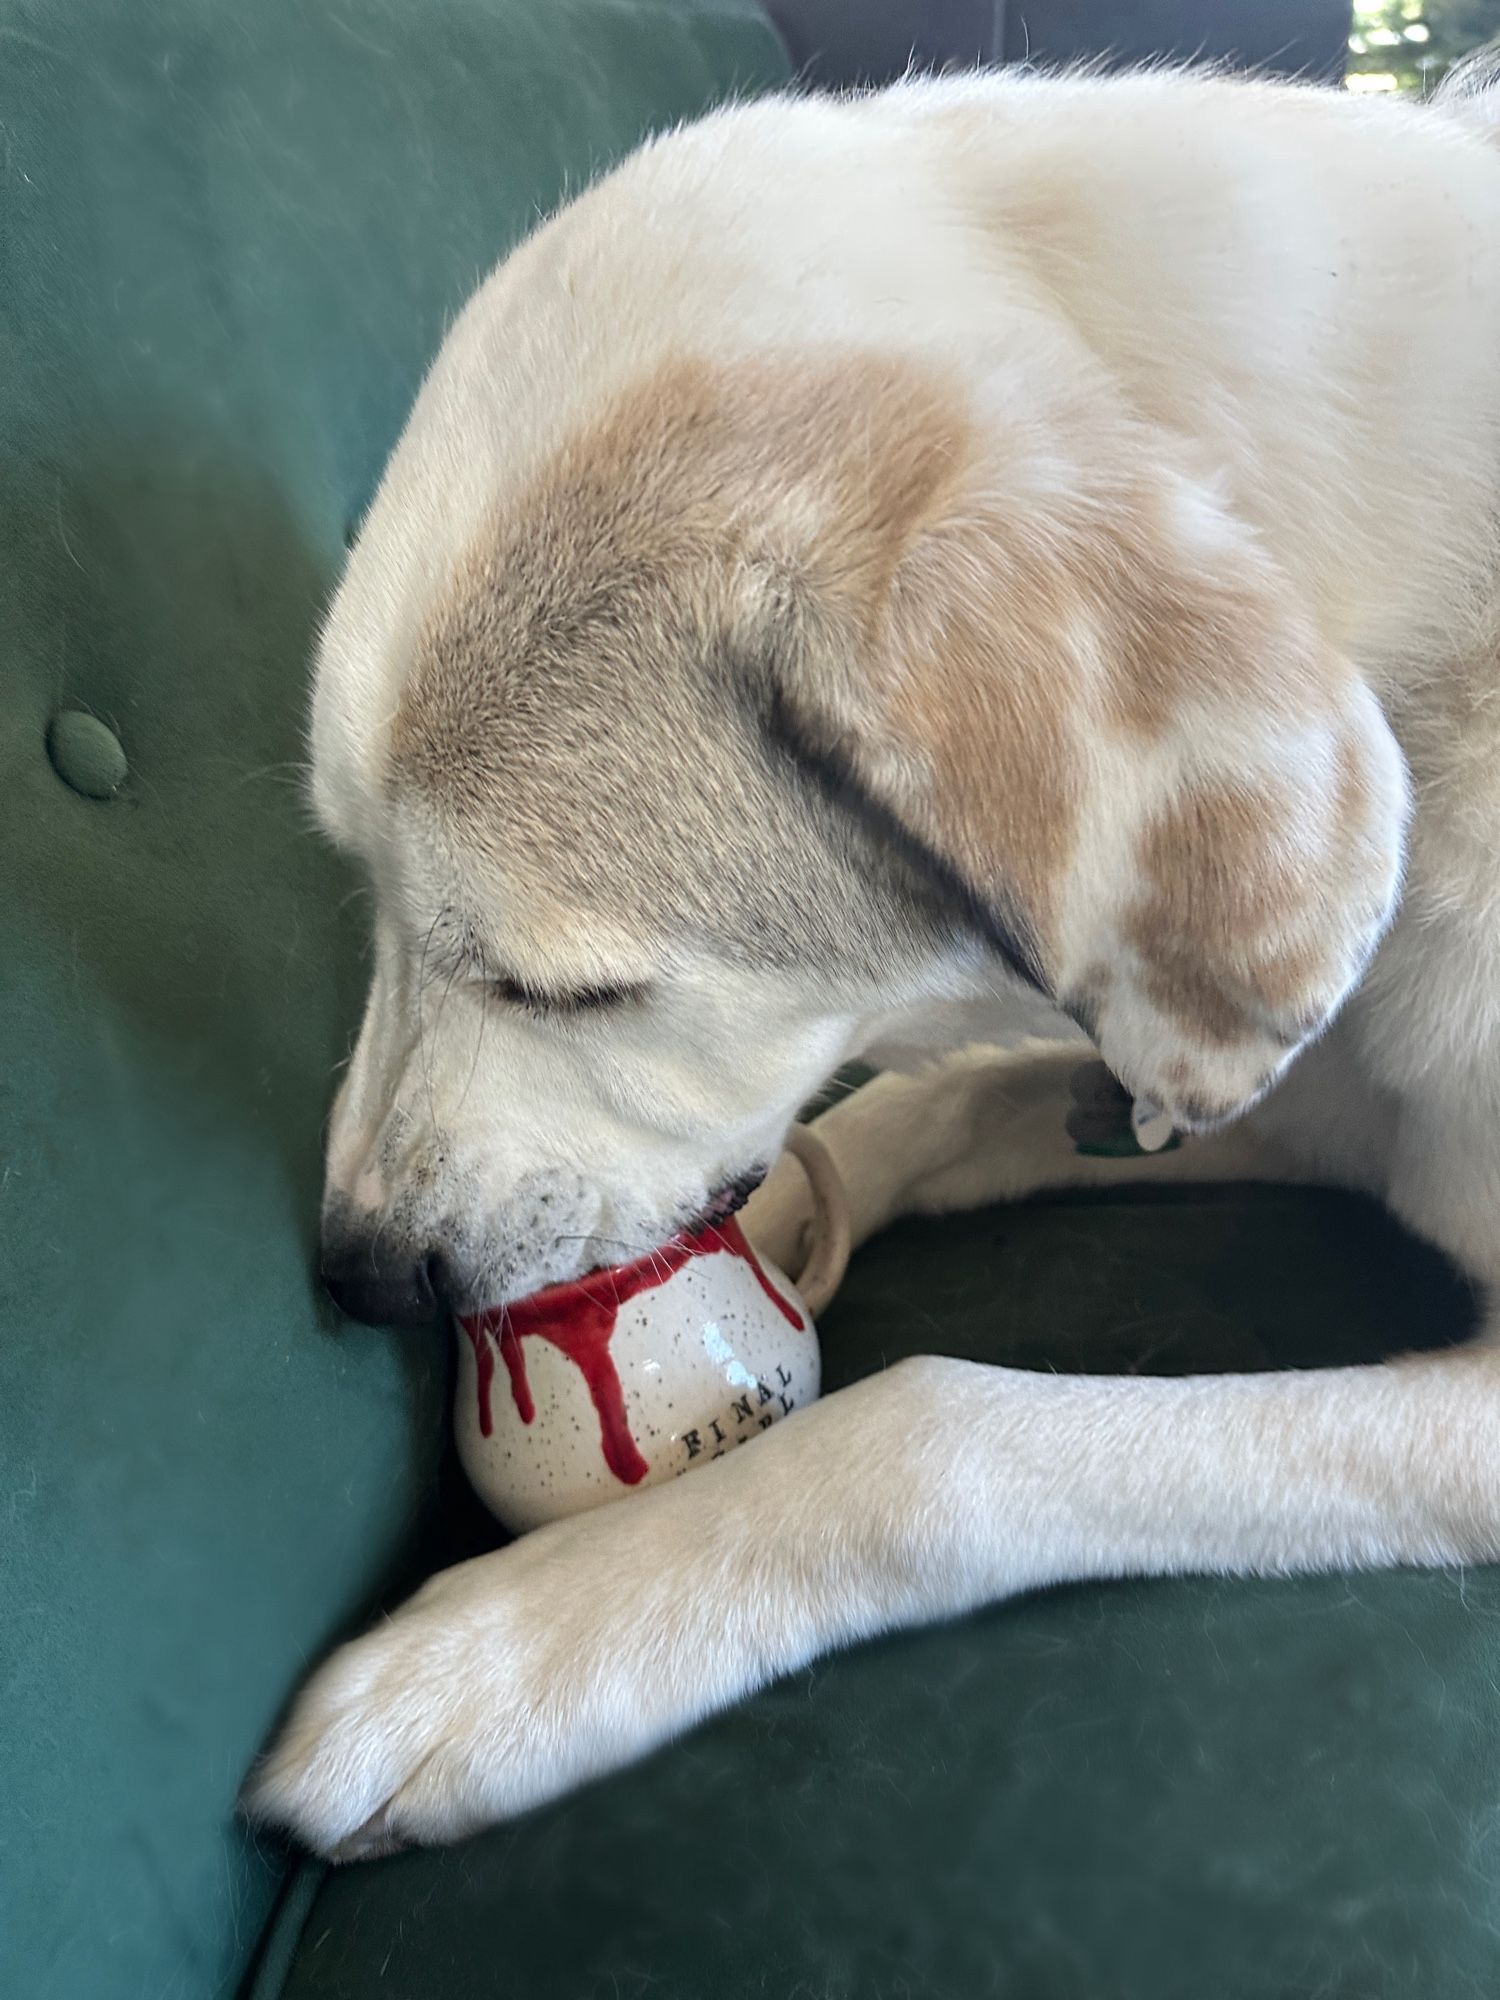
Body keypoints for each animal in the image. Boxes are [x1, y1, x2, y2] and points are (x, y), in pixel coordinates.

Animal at [247, 62, 1500, 1864]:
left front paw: (519, 1643)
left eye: (569, 990)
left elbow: (937, 1427)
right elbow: (934, 1107)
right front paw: (770, 1221)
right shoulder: (1333, 1092)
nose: (354, 1276)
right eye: (360, 894)